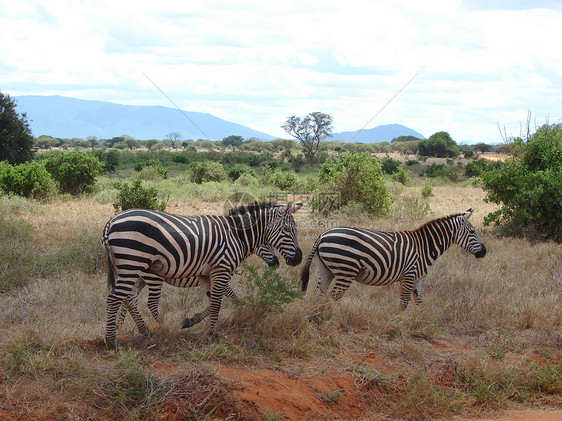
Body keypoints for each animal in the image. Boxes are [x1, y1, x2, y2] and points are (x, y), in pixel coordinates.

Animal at [116, 241, 278, 326]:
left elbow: (215, 301)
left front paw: (193, 319)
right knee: (148, 302)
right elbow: (233, 299)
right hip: (152, 278)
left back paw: (120, 326)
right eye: (266, 244)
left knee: (127, 299)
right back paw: (161, 326)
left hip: (140, 279)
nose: (276, 263)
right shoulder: (220, 281)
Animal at [300, 208, 484, 308]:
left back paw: (319, 314)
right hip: (346, 270)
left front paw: (418, 322)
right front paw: (399, 322)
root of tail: (322, 235)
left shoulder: (417, 278)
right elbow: (404, 302)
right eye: (472, 232)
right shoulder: (409, 275)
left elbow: (419, 301)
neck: (425, 246)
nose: (484, 251)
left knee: (319, 293)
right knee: (334, 295)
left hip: (325, 269)